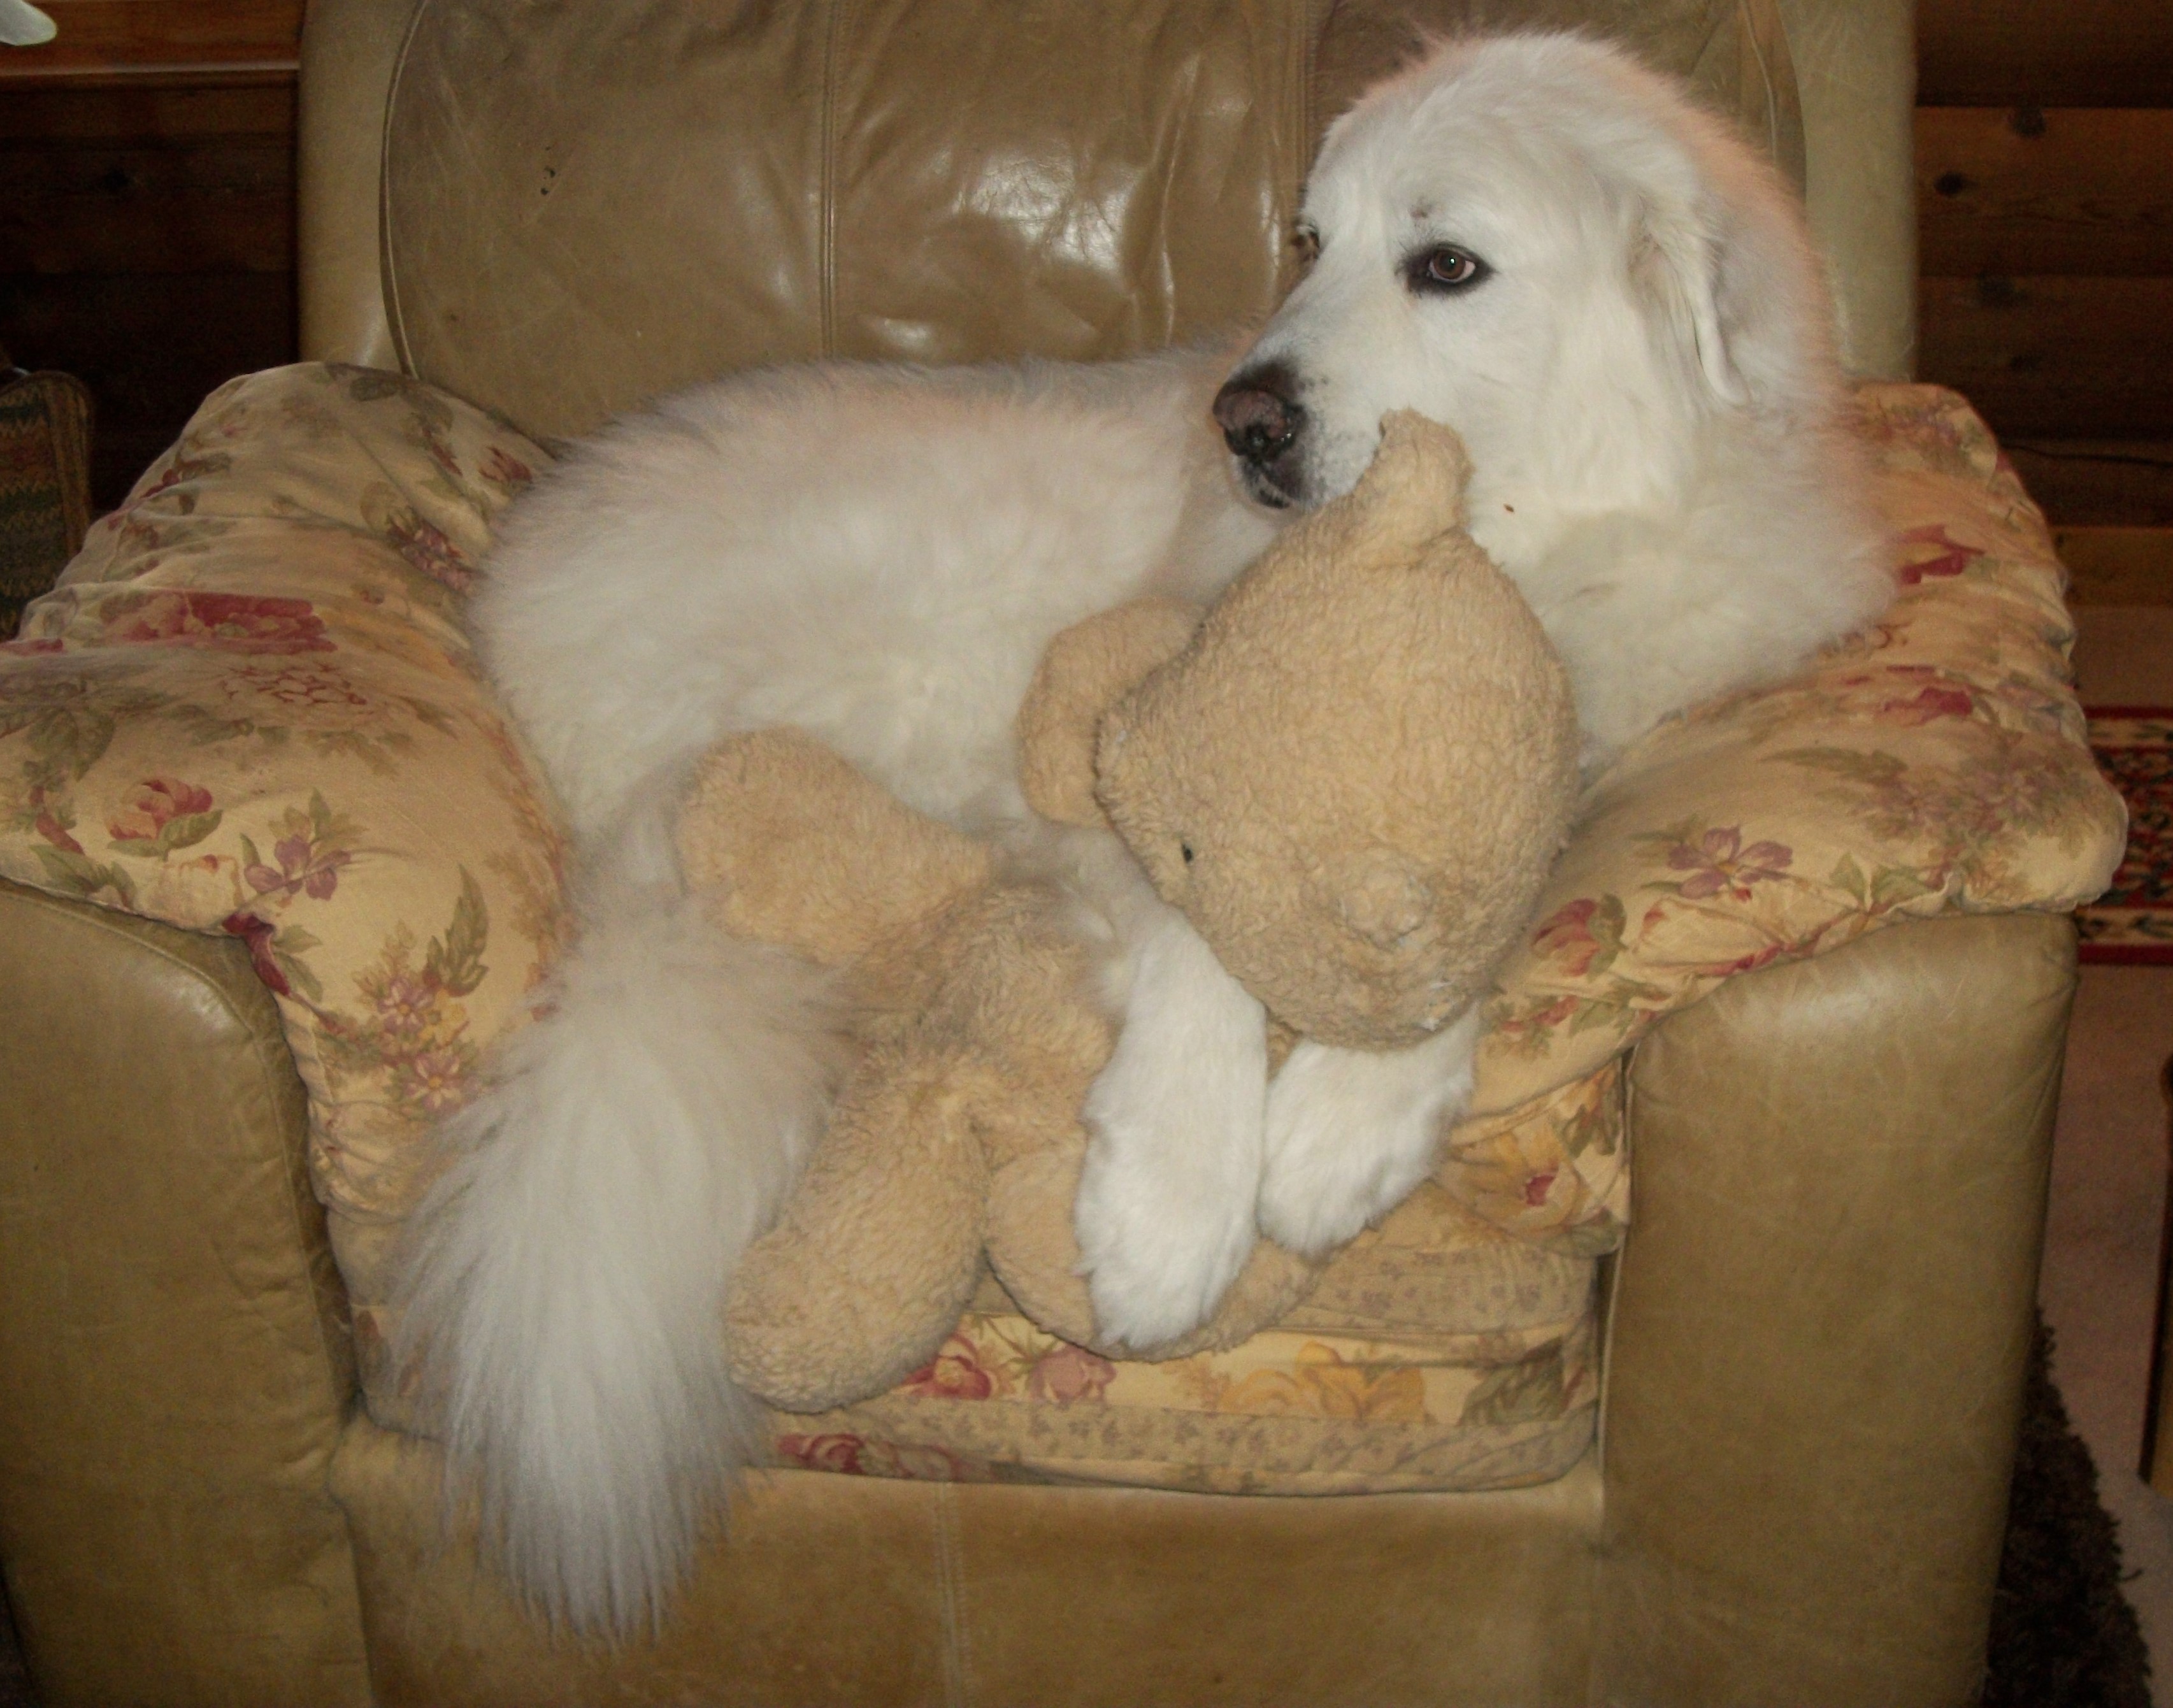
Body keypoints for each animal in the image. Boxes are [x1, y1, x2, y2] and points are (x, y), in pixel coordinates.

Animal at [399, 30, 1894, 1630]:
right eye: (1310, 244)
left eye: (1444, 265)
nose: (1241, 418)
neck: (1516, 556)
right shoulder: (1123, 738)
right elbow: (1195, 923)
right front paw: (1170, 1204)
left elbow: (1485, 894)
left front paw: (1344, 1118)